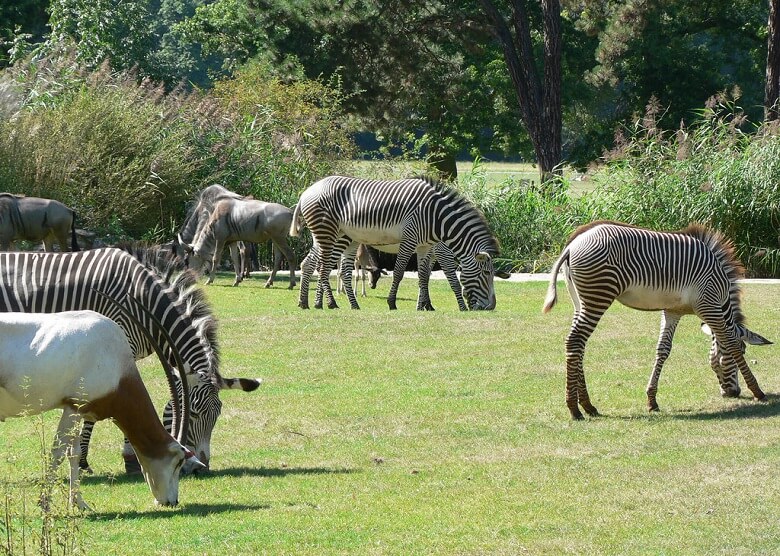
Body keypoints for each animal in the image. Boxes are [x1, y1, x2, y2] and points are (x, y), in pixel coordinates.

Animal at [0, 308, 204, 508]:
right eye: (178, 461)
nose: (172, 502)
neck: (117, 364)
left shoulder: (78, 409)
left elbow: (74, 453)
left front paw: (79, 504)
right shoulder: (73, 407)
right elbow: (58, 452)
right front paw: (44, 504)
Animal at [290, 176, 502, 310]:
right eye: (486, 274)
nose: (491, 307)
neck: (438, 219)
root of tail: (306, 191)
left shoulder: (424, 246)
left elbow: (423, 276)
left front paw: (424, 306)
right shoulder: (413, 241)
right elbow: (404, 273)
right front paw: (392, 303)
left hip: (334, 235)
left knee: (313, 265)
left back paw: (309, 303)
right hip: (328, 233)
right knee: (324, 267)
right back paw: (329, 303)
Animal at [544, 219, 772, 420]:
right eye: (745, 349)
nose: (733, 393)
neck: (721, 291)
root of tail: (572, 244)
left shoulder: (672, 311)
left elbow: (663, 349)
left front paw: (652, 400)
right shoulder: (709, 307)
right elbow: (730, 342)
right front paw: (757, 391)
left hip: (580, 300)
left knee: (579, 345)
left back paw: (588, 405)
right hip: (598, 295)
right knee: (575, 341)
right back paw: (574, 408)